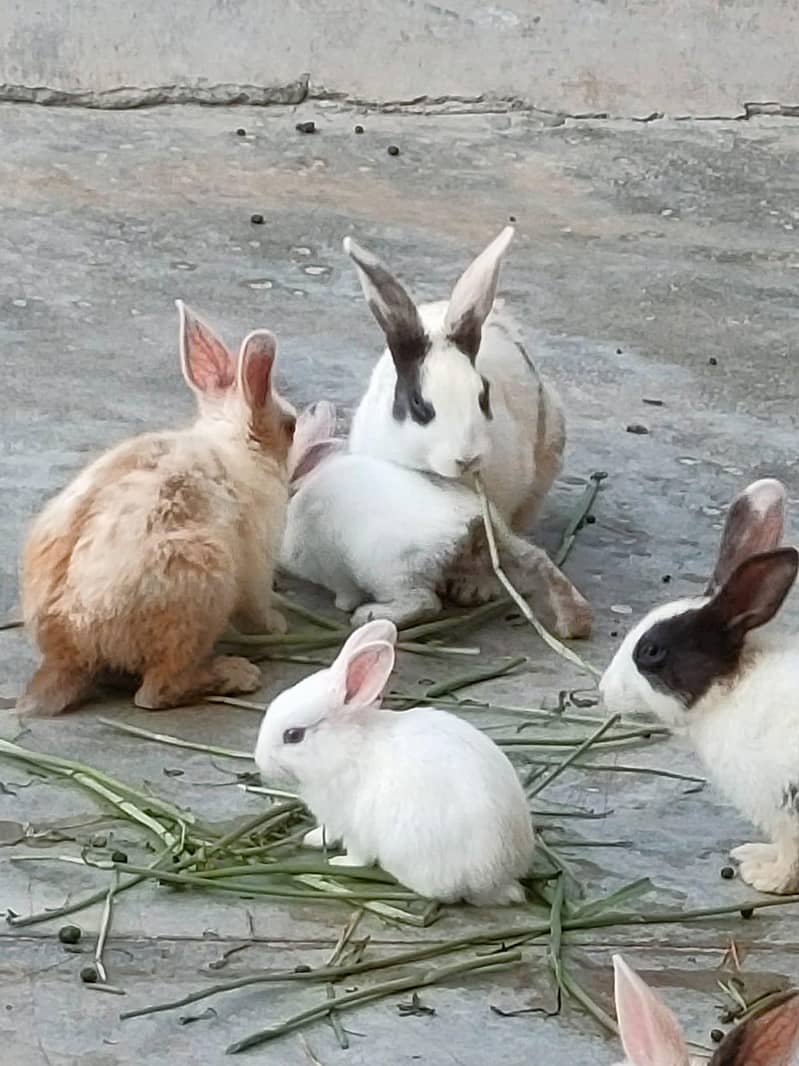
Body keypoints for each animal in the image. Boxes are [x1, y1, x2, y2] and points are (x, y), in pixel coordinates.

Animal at [18, 301, 296, 716]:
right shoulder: (257, 568)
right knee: (155, 692)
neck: (235, 445)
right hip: (202, 588)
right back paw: (238, 674)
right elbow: (258, 607)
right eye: (291, 426)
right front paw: (277, 626)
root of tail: (69, 647)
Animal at [254, 619, 536, 905]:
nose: (258, 760)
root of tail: (500, 880)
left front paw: (339, 863)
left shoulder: (354, 827)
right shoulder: (333, 821)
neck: (347, 749)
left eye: (293, 735)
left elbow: (358, 857)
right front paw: (311, 839)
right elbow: (326, 832)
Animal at [282, 403, 592, 637]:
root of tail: (472, 526)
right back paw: (574, 622)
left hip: (391, 572)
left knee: (424, 602)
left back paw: (368, 616)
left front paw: (345, 605)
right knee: (538, 560)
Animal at [600, 477, 799, 894]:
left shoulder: (787, 802)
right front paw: (753, 856)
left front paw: (766, 879)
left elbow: (791, 857)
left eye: (651, 651)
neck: (730, 690)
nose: (603, 691)